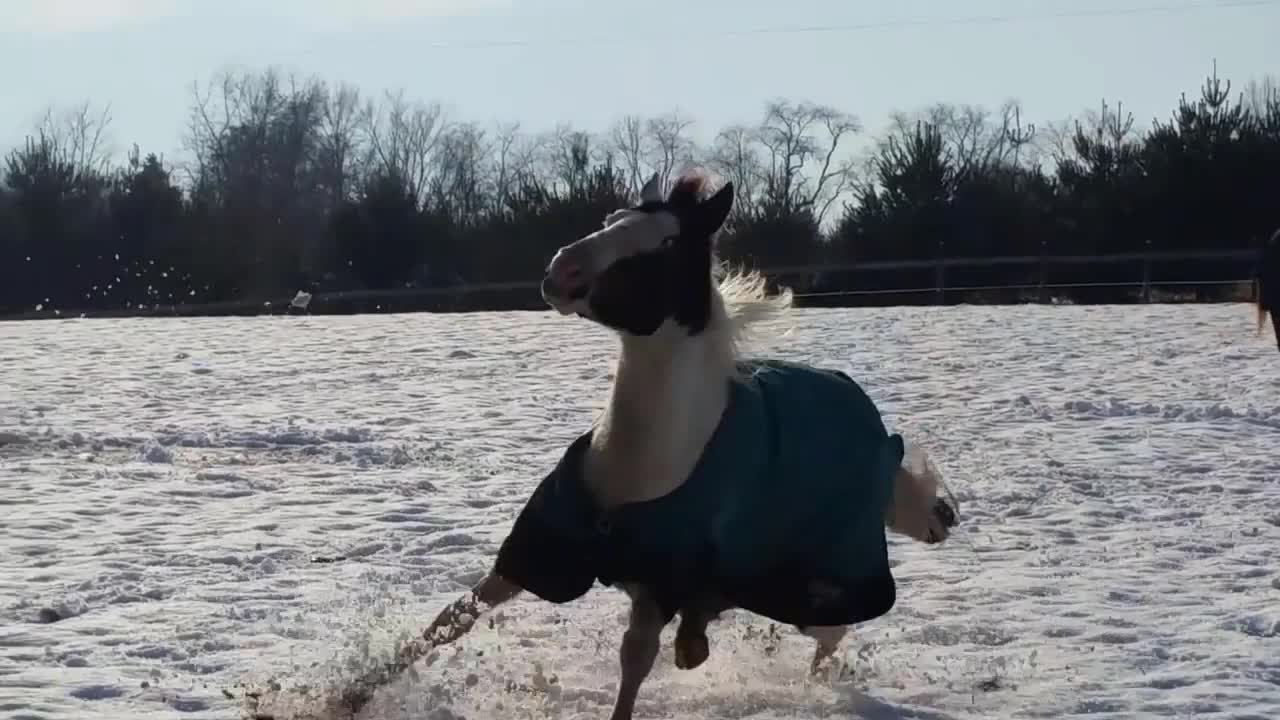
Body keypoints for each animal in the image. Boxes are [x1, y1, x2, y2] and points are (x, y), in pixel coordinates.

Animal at [330, 166, 962, 717]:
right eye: (611, 217)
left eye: (665, 243)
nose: (561, 270)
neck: (647, 465)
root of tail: (868, 417)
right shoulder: (544, 547)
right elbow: (457, 614)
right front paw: (347, 696)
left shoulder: (658, 587)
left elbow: (633, 665)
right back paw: (699, 648)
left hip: (814, 583)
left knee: (831, 632)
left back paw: (807, 680)